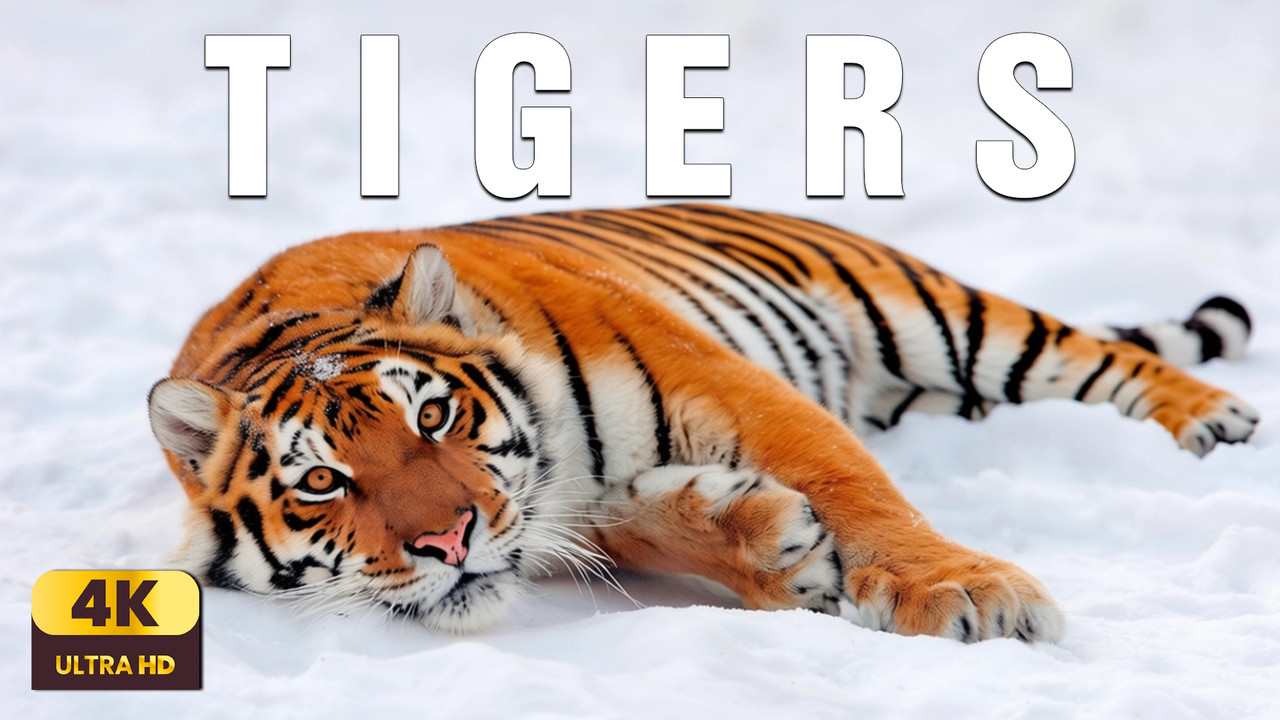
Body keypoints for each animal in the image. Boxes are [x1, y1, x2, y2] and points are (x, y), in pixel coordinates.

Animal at [148, 204, 1259, 641]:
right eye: (321, 481)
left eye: (432, 414)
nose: (448, 541)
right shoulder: (566, 510)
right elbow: (631, 521)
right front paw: (774, 549)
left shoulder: (721, 381)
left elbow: (855, 486)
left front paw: (967, 594)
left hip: (938, 317)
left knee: (1110, 359)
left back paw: (1217, 423)